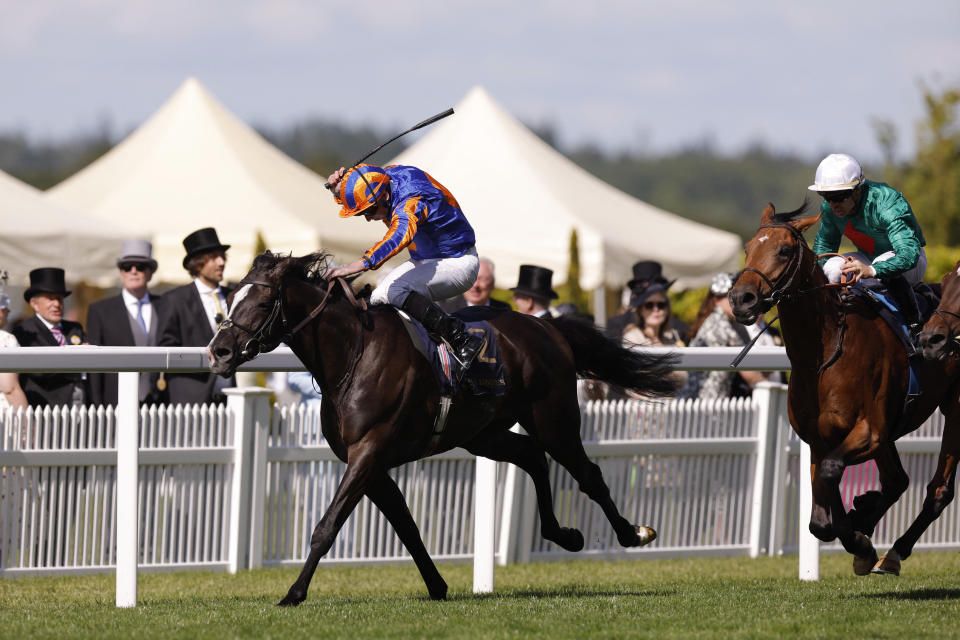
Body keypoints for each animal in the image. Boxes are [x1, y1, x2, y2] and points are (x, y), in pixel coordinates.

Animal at [207, 250, 680, 604]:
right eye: (229, 299)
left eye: (262, 303)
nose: (218, 351)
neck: (351, 355)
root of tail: (546, 326)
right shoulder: (370, 463)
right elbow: (407, 527)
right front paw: (437, 586)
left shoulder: (368, 451)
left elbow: (327, 527)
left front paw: (293, 593)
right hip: (483, 434)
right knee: (532, 457)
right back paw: (562, 533)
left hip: (554, 419)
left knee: (588, 474)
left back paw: (633, 532)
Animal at [728, 204, 960, 576]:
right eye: (748, 247)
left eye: (784, 250)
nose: (741, 299)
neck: (825, 353)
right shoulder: (819, 438)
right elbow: (819, 519)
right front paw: (859, 529)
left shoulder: (869, 432)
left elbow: (830, 474)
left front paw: (861, 539)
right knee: (897, 480)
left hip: (954, 409)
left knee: (938, 490)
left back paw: (893, 552)